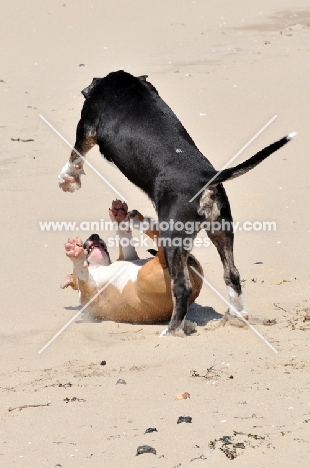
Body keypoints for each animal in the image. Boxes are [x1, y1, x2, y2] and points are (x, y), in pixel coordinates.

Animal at [62, 201, 203, 326]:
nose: (94, 235)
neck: (98, 267)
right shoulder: (91, 296)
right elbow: (82, 274)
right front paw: (77, 255)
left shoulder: (130, 257)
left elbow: (125, 240)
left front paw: (118, 218)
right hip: (148, 274)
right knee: (160, 244)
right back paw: (139, 220)